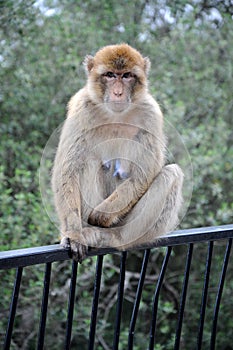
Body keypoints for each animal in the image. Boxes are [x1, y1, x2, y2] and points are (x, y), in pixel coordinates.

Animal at [51, 43, 184, 262]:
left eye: (128, 75)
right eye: (110, 75)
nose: (118, 93)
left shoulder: (151, 113)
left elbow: (144, 172)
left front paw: (101, 216)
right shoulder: (81, 108)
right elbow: (67, 171)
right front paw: (74, 236)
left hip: (127, 223)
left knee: (171, 174)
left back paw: (114, 237)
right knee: (88, 161)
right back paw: (86, 232)